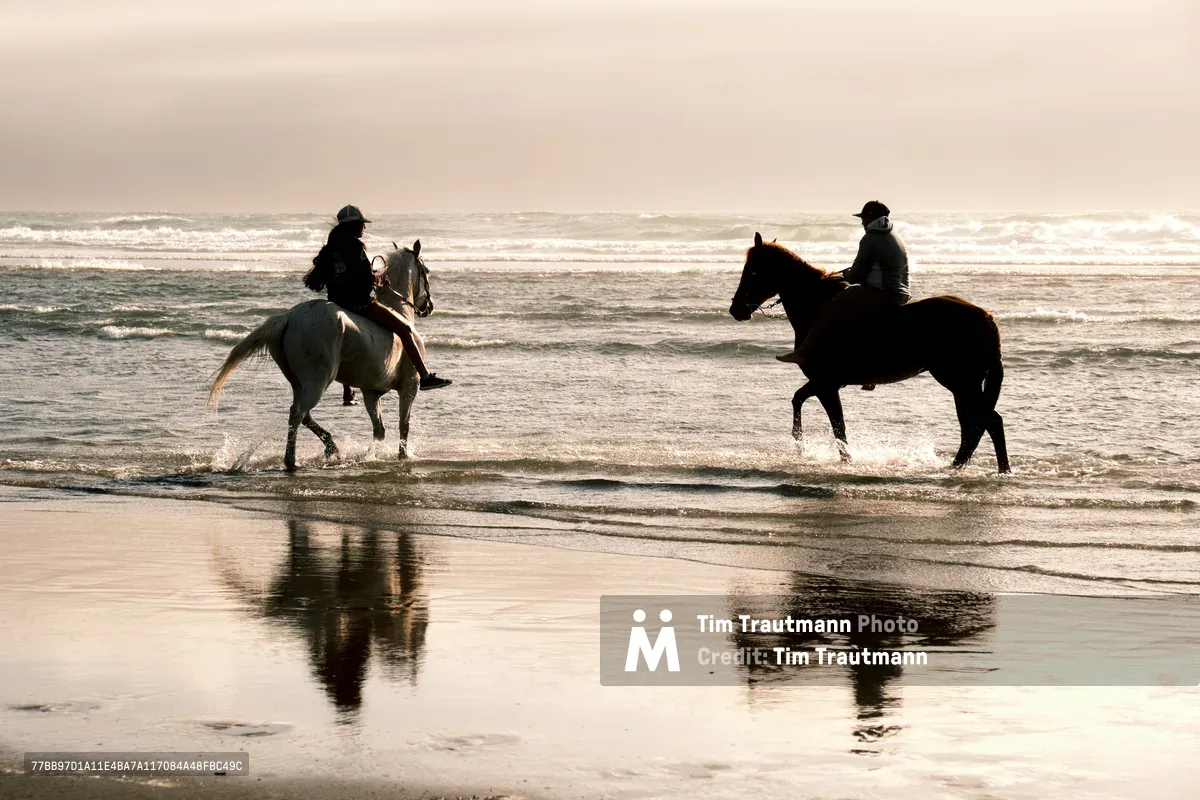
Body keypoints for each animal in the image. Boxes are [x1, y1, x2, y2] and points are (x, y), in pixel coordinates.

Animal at [207, 240, 434, 471]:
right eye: (426, 271)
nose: (429, 307)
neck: (399, 311)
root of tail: (287, 318)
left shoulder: (371, 392)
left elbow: (379, 431)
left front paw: (369, 456)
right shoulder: (409, 386)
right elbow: (403, 426)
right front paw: (402, 458)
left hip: (299, 383)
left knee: (304, 415)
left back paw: (330, 447)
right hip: (317, 381)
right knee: (297, 413)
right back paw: (291, 460)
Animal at [729, 232, 1010, 473]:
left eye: (752, 271)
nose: (736, 310)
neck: (816, 308)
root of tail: (987, 318)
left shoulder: (825, 384)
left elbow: (837, 426)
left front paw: (843, 460)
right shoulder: (824, 383)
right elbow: (799, 400)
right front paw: (801, 446)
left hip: (960, 383)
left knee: (989, 422)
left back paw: (1000, 470)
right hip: (963, 386)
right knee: (973, 426)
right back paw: (961, 466)